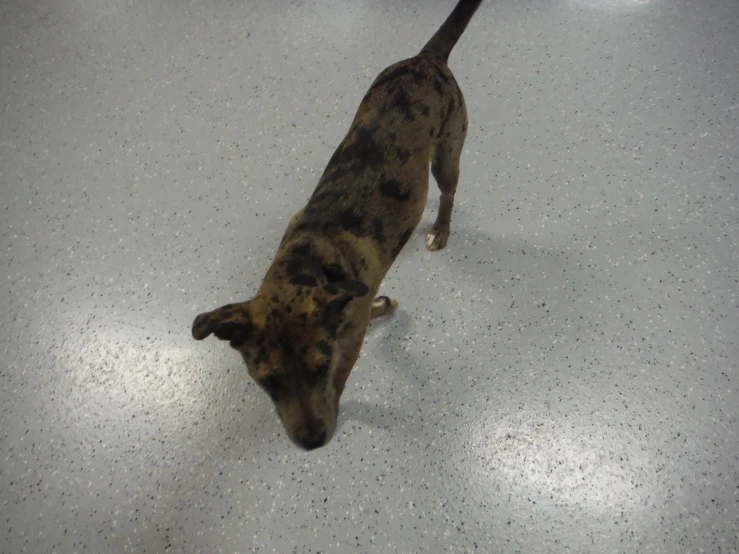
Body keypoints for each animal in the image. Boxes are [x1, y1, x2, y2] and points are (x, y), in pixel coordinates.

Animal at [192, 0, 486, 446]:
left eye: (319, 368)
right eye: (269, 381)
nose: (313, 441)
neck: (306, 260)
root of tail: (427, 58)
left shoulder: (350, 340)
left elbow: (345, 372)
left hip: (447, 155)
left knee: (449, 193)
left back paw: (441, 230)